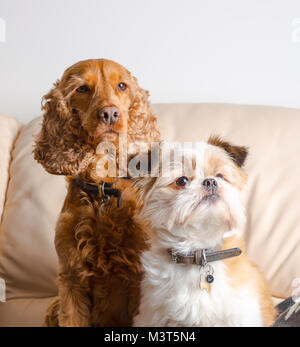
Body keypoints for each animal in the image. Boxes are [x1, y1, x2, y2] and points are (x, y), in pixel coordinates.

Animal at [132, 137, 278, 328]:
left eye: (220, 176)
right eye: (182, 181)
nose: (210, 181)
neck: (198, 252)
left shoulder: (241, 314)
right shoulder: (153, 316)